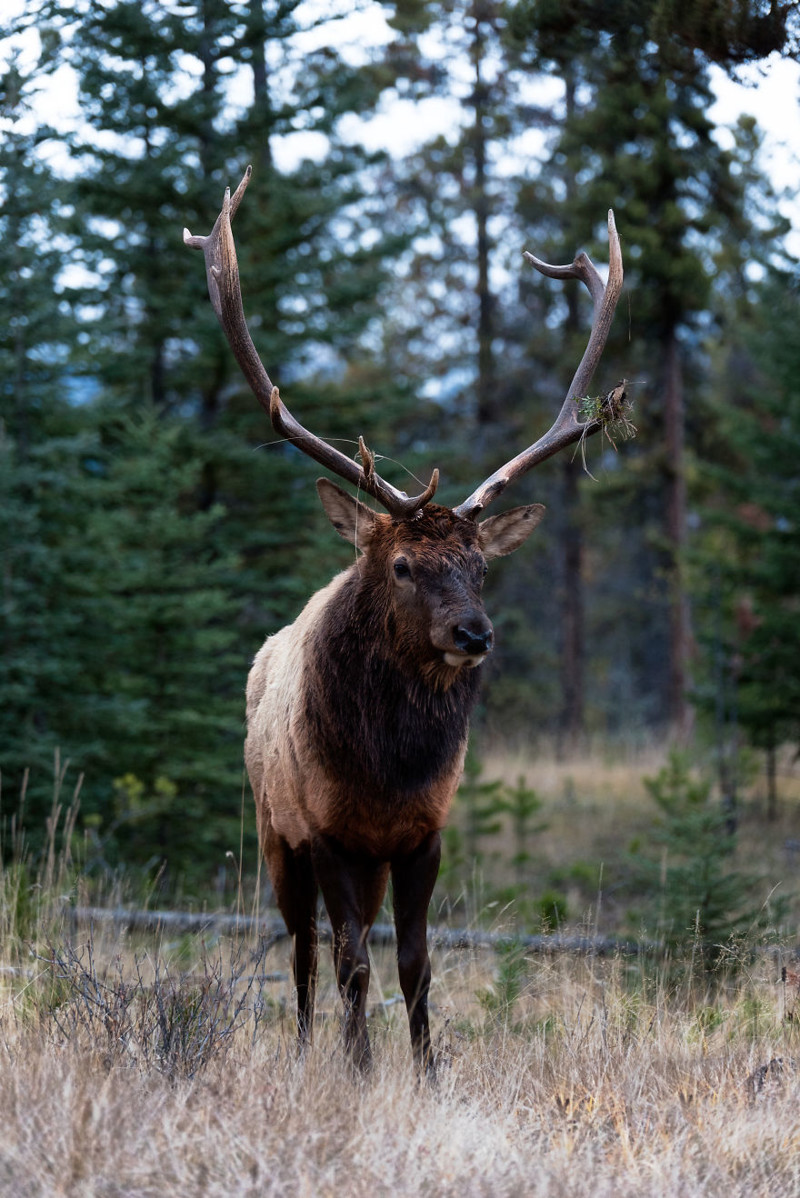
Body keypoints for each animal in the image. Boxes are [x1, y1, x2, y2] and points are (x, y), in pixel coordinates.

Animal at [183, 164, 622, 1073]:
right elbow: (352, 960)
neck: (388, 767)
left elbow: (417, 962)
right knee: (303, 949)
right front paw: (357, 1068)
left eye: (481, 565)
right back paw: (307, 1048)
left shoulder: (422, 835)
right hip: (273, 832)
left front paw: (424, 1070)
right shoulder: (327, 832)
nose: (474, 634)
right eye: (401, 566)